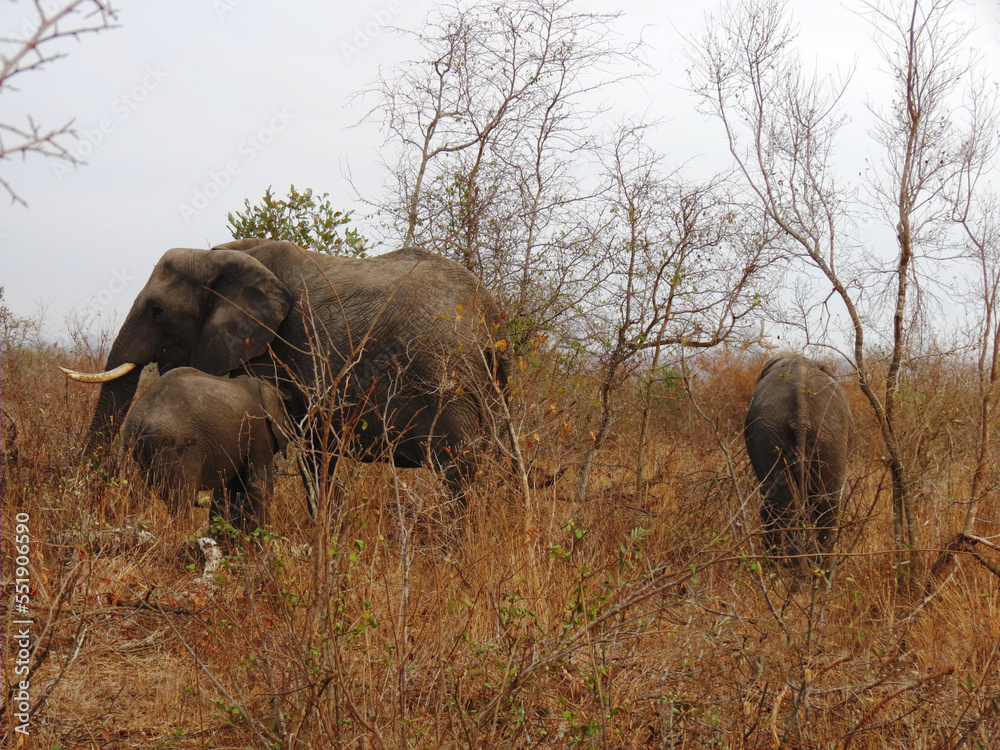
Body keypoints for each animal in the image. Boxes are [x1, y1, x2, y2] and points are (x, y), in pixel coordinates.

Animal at [62, 239, 509, 512]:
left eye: (157, 311)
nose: (98, 486)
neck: (221, 256)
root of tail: (490, 311)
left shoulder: (278, 346)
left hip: (447, 379)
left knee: (460, 471)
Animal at [123, 367, 292, 532]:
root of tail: (141, 419)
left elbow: (232, 489)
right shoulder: (258, 430)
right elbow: (258, 485)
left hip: (131, 446)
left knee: (135, 493)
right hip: (176, 449)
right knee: (181, 499)